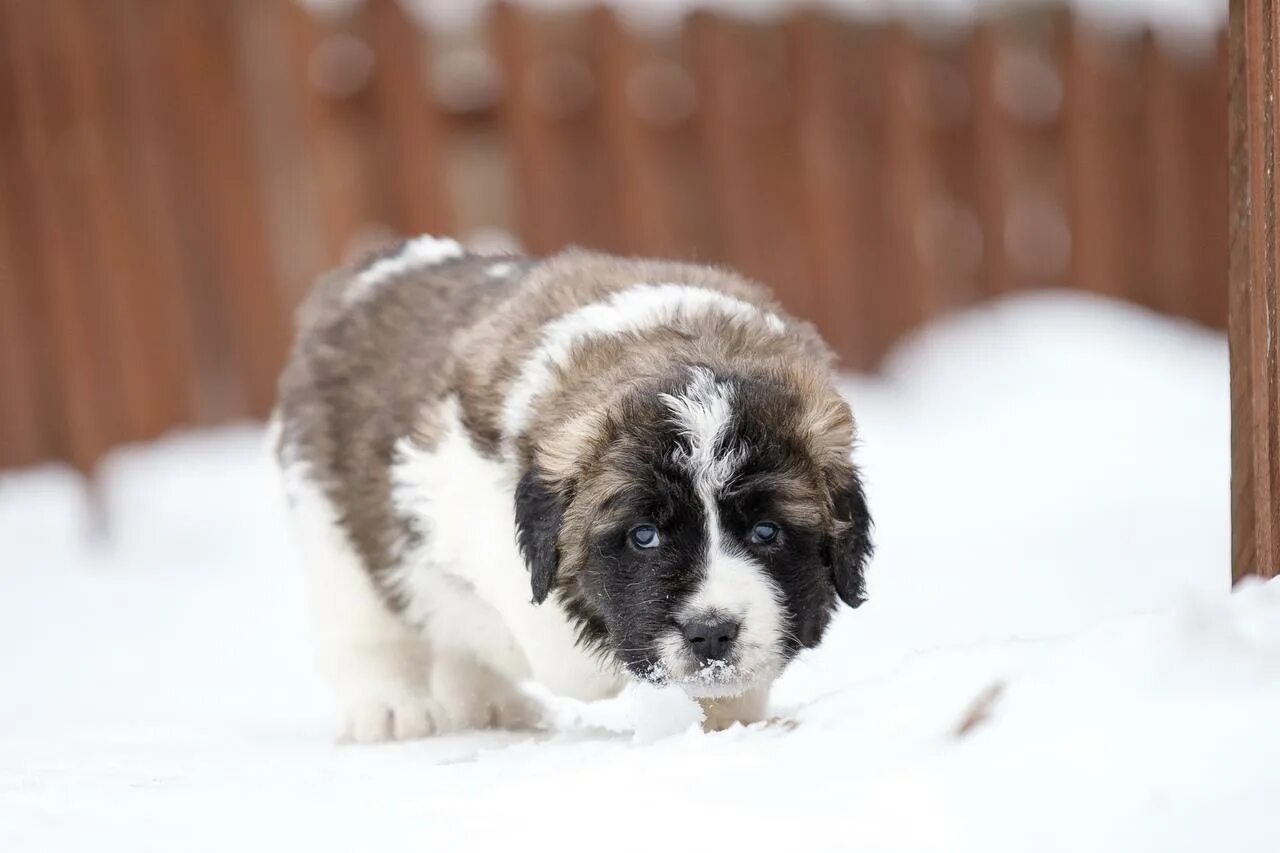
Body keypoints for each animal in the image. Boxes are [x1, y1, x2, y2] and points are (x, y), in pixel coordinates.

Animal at [270, 234, 870, 737]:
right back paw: (393, 709)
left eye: (767, 532)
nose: (711, 633)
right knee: (370, 630)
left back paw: (486, 702)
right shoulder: (449, 486)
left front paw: (728, 717)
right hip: (333, 530)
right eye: (644, 536)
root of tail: (374, 269)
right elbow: (556, 641)